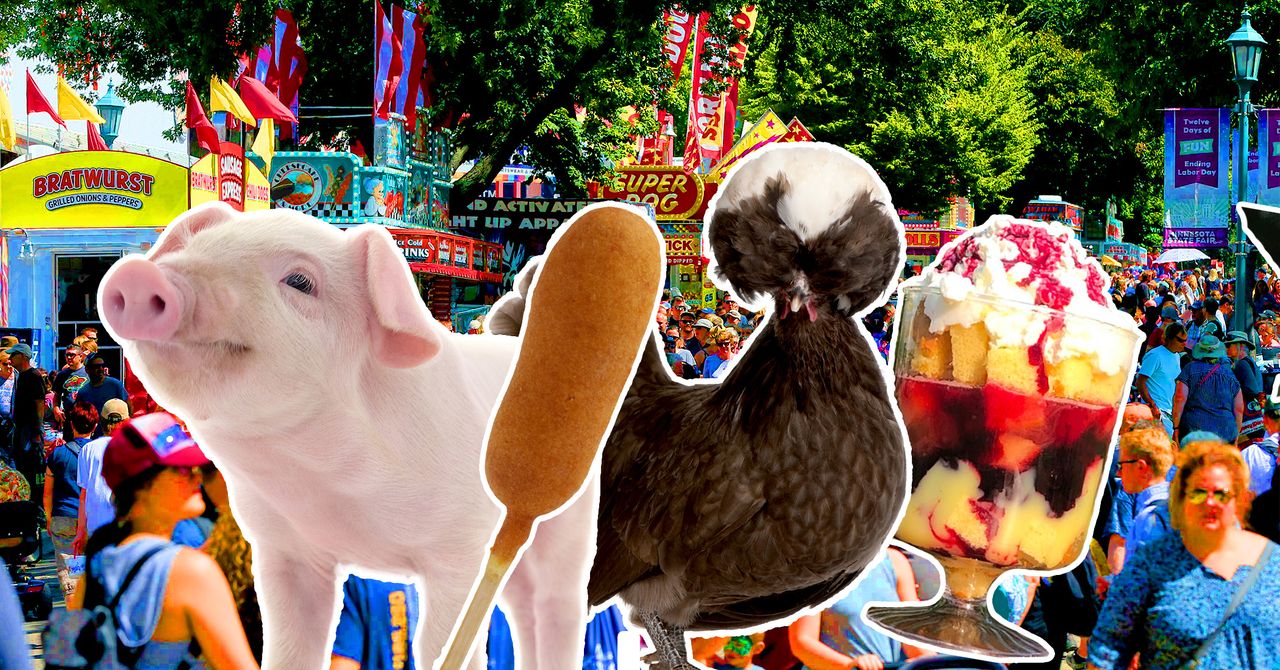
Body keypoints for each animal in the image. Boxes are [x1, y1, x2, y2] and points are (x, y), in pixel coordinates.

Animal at [97, 204, 601, 670]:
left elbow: (438, 640)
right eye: (194, 248)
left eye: (300, 282)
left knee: (556, 605)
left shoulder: (461, 546)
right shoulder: (284, 548)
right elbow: (292, 643)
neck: (332, 488)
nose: (139, 274)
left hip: (569, 519)